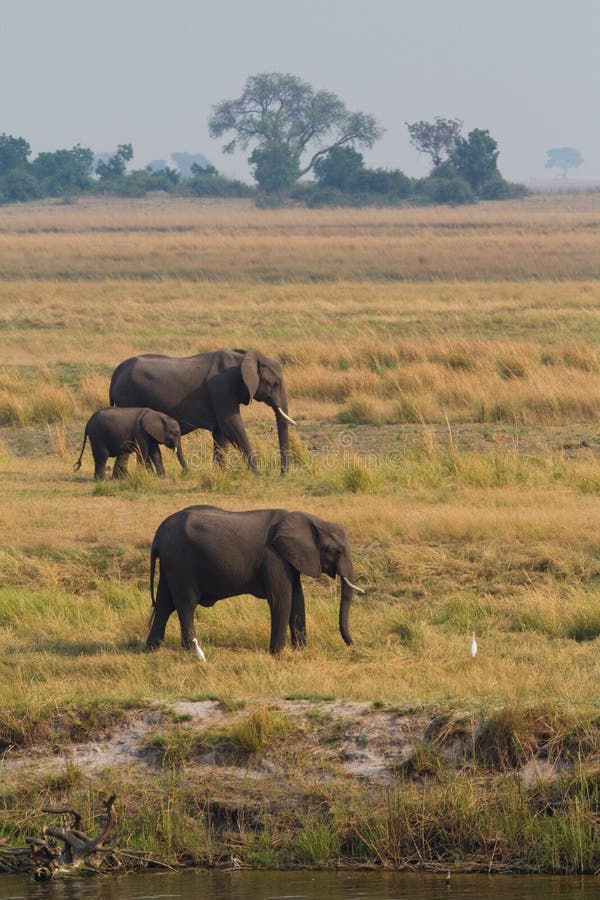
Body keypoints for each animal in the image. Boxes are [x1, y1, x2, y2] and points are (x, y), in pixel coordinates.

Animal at [109, 350, 296, 478]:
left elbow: (221, 435)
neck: (241, 359)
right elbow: (232, 426)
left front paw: (221, 474)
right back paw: (125, 477)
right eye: (274, 383)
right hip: (128, 397)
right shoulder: (222, 388)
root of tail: (115, 373)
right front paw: (258, 475)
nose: (282, 474)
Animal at [145, 506, 364, 652]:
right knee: (186, 605)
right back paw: (192, 652)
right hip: (180, 563)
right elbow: (281, 600)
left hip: (170, 565)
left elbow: (297, 600)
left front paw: (300, 651)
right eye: (337, 551)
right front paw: (277, 655)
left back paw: (152, 650)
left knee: (164, 604)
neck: (309, 519)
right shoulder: (274, 558)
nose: (353, 645)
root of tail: (158, 535)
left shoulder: (290, 560)